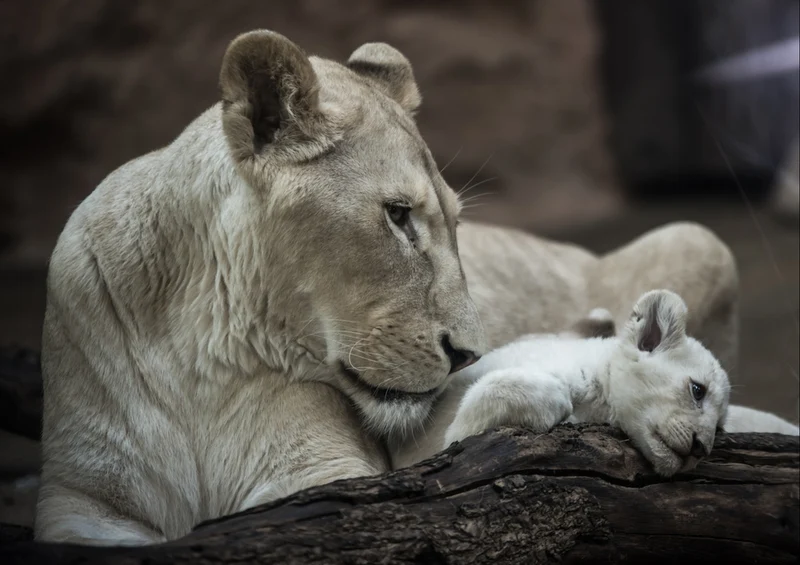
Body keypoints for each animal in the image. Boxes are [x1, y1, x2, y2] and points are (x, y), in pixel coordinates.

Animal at [35, 30, 788, 546]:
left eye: (455, 223)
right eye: (398, 216)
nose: (468, 354)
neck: (191, 341)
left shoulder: (319, 475)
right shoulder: (80, 503)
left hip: (700, 237)